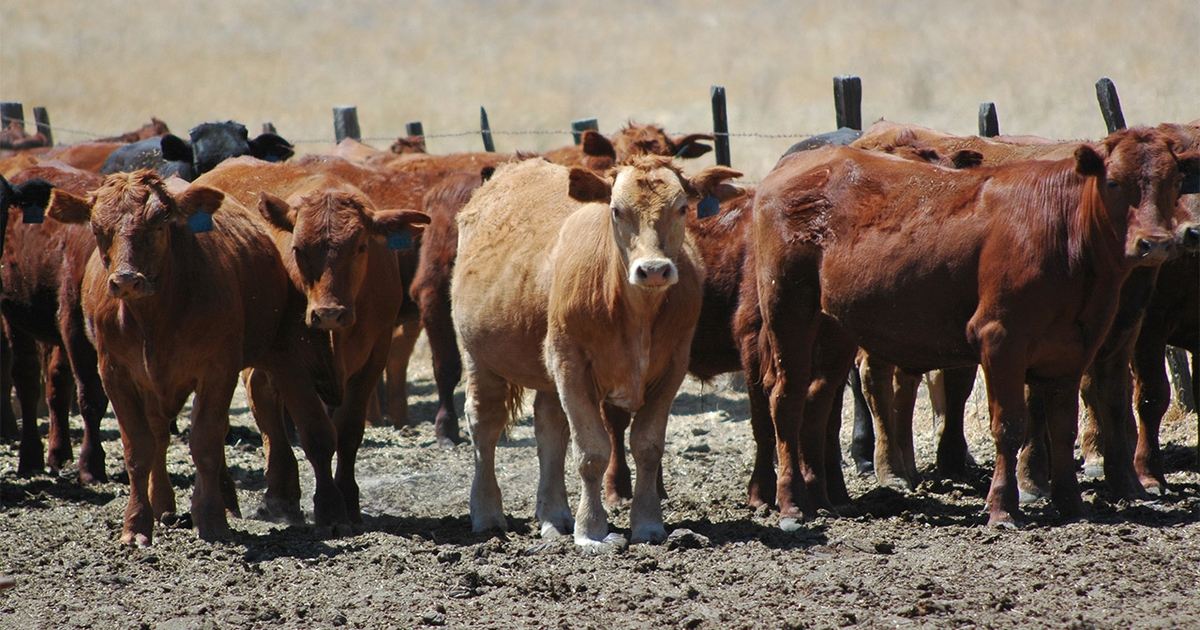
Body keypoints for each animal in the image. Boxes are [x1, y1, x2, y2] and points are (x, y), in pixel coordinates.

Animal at [1, 163, 109, 483]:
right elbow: (92, 397)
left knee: (57, 385)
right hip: (16, 317)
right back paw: (31, 457)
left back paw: (59, 453)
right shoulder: (75, 330)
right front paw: (92, 465)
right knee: (26, 381)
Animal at [452, 156, 739, 545]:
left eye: (682, 208)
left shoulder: (672, 368)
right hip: (478, 356)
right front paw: (590, 530)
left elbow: (647, 446)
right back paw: (487, 514)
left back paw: (554, 517)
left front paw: (648, 525)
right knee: (485, 423)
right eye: (616, 210)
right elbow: (592, 451)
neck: (635, 311)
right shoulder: (571, 364)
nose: (653, 270)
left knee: (549, 429)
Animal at [752, 127, 1196, 527]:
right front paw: (1002, 508)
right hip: (787, 308)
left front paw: (1072, 505)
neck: (1061, 231)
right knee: (786, 398)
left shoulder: (1073, 351)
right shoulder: (1000, 339)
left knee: (817, 400)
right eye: (1114, 181)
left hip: (834, 328)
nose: (1156, 243)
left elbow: (1062, 427)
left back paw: (821, 500)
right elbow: (1010, 426)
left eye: (1174, 182)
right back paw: (792, 506)